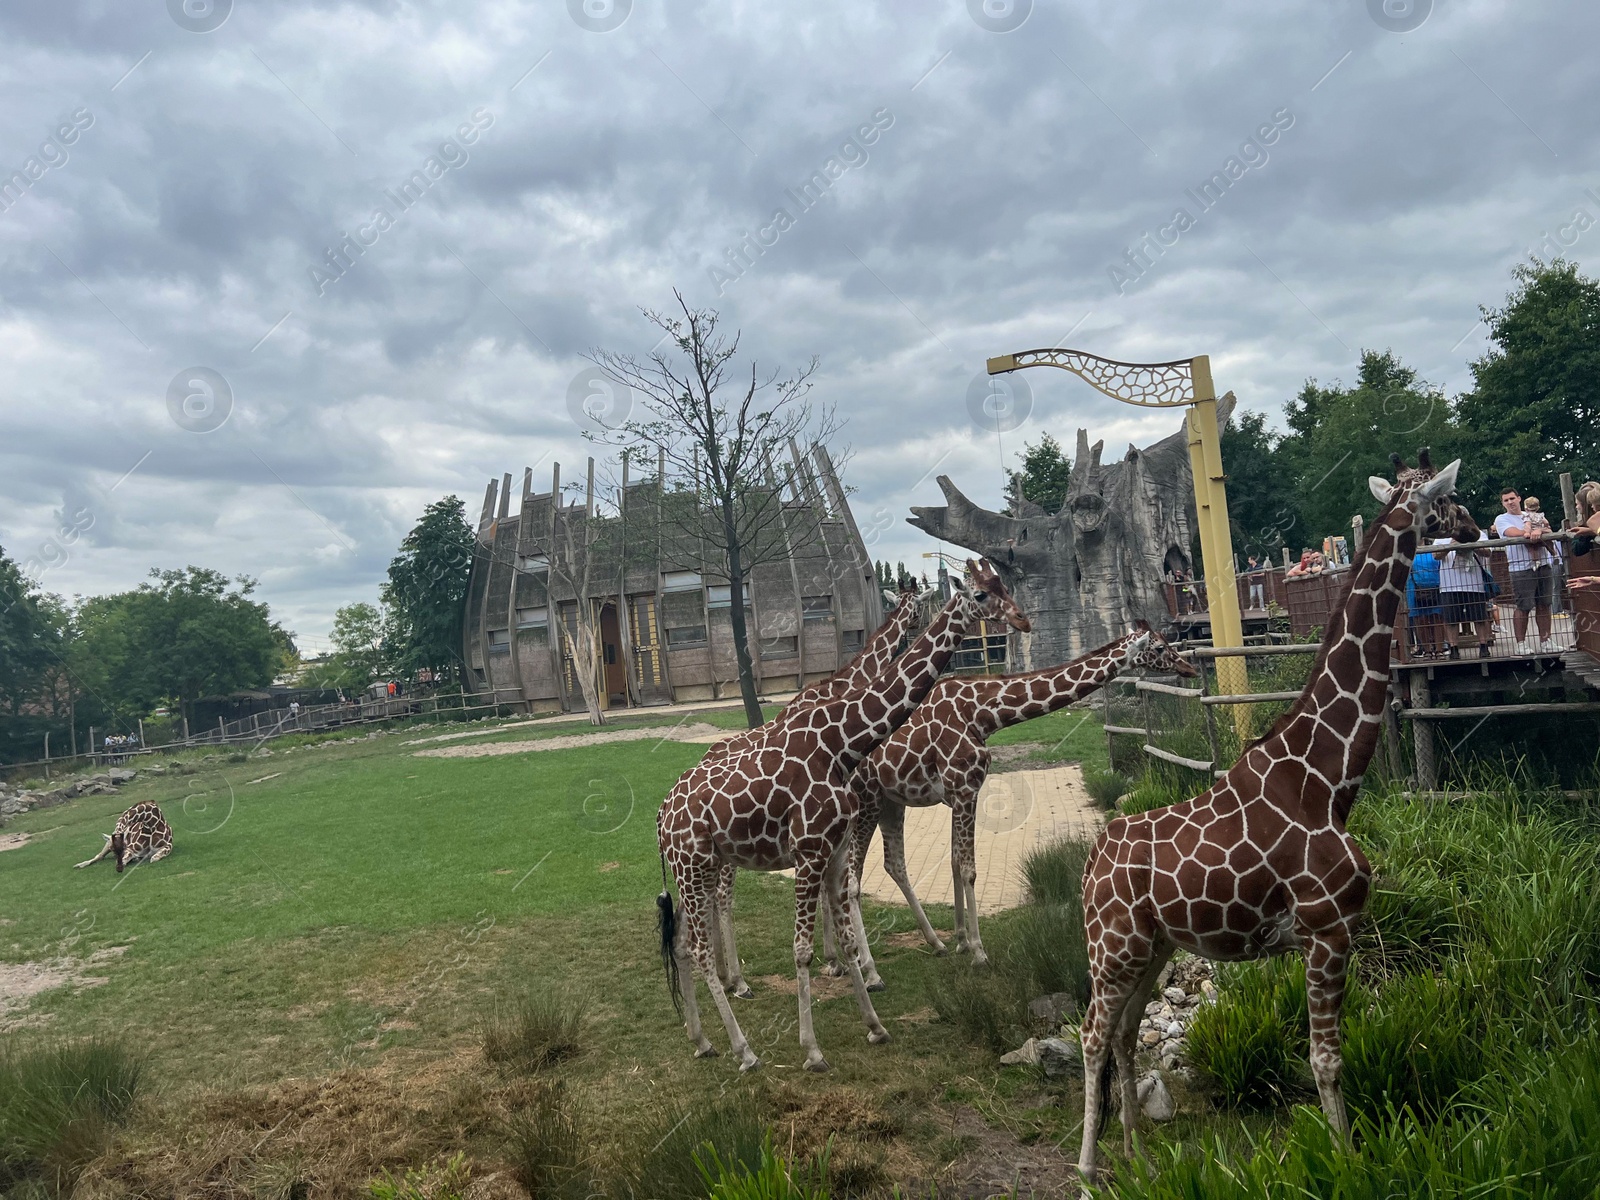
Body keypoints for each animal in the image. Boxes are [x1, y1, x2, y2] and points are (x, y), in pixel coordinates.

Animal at [656, 560, 1030, 1075]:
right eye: (980, 594)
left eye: (1004, 585)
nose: (1021, 619)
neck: (843, 741)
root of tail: (660, 816)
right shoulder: (810, 850)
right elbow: (801, 949)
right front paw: (812, 1049)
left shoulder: (831, 849)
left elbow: (848, 933)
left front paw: (875, 1024)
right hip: (694, 865)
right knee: (698, 943)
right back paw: (743, 1047)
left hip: (701, 865)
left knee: (681, 942)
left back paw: (702, 1038)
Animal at [844, 620, 1196, 985]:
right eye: (1159, 647)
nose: (1191, 668)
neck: (983, 713)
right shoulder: (965, 788)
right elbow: (968, 869)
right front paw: (979, 952)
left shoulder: (956, 795)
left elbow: (955, 863)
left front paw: (960, 942)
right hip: (865, 802)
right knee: (851, 882)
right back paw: (869, 971)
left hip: (889, 803)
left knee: (893, 865)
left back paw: (920, 945)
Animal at [1075, 454, 1472, 1184]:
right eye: (1449, 498)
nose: (1473, 525)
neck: (1327, 776)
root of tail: (1089, 865)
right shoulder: (1328, 929)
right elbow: (1326, 1059)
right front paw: (1346, 1160)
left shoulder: (1327, 933)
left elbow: (1328, 1055)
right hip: (1112, 946)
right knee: (1091, 1032)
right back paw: (1089, 1170)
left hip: (1152, 947)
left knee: (1121, 1031)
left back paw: (1139, 1159)